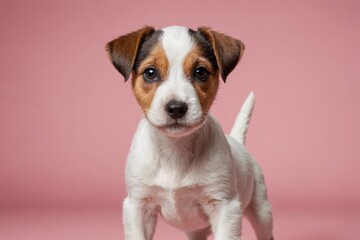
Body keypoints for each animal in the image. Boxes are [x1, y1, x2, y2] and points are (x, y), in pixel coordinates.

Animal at [105, 25, 274, 240]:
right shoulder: (137, 205)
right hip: (195, 230)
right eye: (150, 72)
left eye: (200, 72)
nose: (176, 108)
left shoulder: (225, 207)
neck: (175, 149)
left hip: (262, 211)